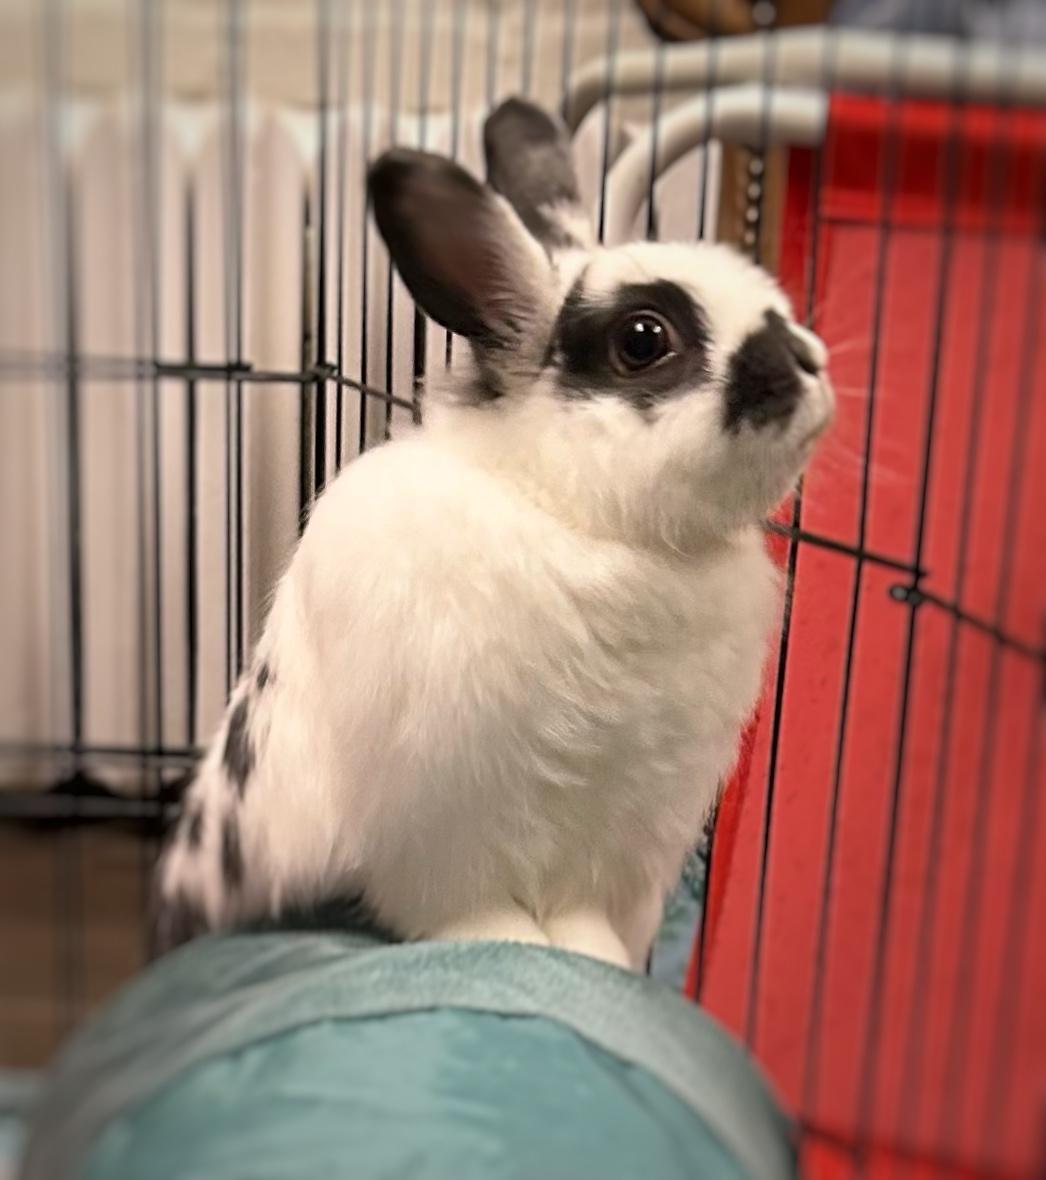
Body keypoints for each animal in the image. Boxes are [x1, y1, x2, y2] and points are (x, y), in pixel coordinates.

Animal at [152, 97, 834, 970]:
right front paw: (510, 943)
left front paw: (594, 958)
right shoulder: (442, 822)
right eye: (644, 339)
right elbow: (467, 909)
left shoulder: (623, 830)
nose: (806, 362)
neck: (585, 523)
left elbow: (582, 915)